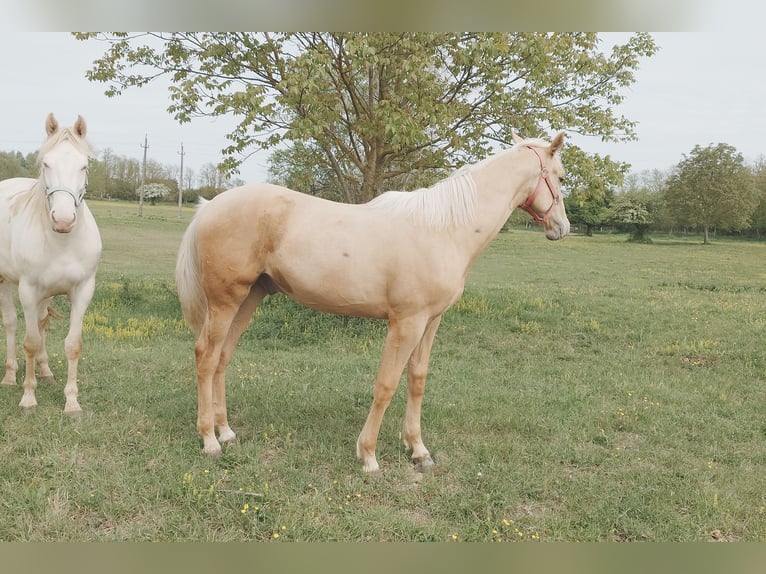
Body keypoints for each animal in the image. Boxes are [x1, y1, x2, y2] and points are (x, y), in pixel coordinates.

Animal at [0, 113, 102, 414]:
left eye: (84, 165)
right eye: (46, 163)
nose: (64, 220)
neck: (63, 243)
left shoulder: (83, 290)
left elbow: (72, 344)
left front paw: (72, 402)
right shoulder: (28, 290)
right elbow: (30, 342)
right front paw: (28, 397)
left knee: (42, 322)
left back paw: (45, 371)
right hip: (6, 282)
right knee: (11, 324)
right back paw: (10, 375)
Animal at [175, 132, 569, 473]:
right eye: (561, 177)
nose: (562, 227)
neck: (443, 230)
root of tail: (211, 206)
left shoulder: (431, 321)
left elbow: (417, 379)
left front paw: (418, 450)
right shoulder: (406, 322)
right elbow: (386, 385)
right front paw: (368, 456)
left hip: (248, 298)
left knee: (223, 357)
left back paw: (227, 432)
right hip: (225, 301)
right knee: (206, 357)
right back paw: (209, 440)